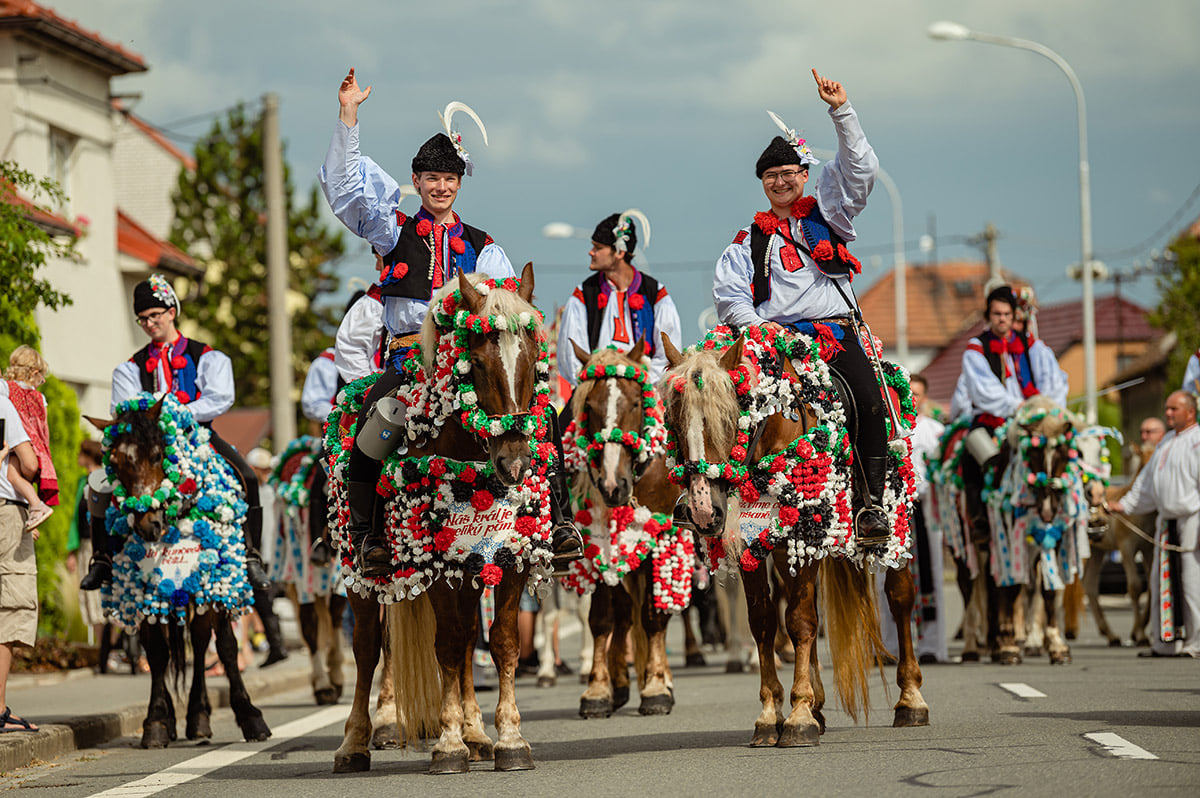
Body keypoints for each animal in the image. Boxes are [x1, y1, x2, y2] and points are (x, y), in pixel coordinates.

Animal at [85, 396, 271, 748]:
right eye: (114, 463)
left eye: (158, 454)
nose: (148, 524)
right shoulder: (143, 591)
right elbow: (158, 654)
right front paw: (156, 721)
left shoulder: (212, 586)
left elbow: (224, 647)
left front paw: (250, 717)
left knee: (200, 645)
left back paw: (200, 715)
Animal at [270, 436, 345, 705]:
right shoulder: (304, 582)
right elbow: (313, 626)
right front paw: (326, 683)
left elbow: (335, 616)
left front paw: (337, 674)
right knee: (310, 626)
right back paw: (322, 684)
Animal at [326, 266, 554, 772]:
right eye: (478, 364)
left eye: (533, 362)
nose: (514, 464)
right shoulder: (434, 567)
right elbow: (444, 644)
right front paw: (448, 743)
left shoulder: (510, 556)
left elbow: (501, 642)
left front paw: (509, 738)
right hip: (359, 574)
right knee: (367, 648)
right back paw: (354, 743)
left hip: (468, 569)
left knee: (470, 640)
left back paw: (476, 734)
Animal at [561, 340, 696, 715]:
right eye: (588, 406)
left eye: (636, 403)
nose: (612, 485)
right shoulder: (595, 542)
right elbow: (602, 618)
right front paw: (598, 690)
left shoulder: (659, 533)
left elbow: (652, 616)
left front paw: (656, 687)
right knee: (622, 614)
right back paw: (620, 682)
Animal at [657, 321, 926, 739]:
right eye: (673, 418)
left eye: (729, 416)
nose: (703, 509)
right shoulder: (752, 545)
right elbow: (764, 622)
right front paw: (772, 714)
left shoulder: (802, 532)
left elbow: (800, 622)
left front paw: (798, 716)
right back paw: (818, 706)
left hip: (895, 523)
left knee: (899, 598)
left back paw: (911, 699)